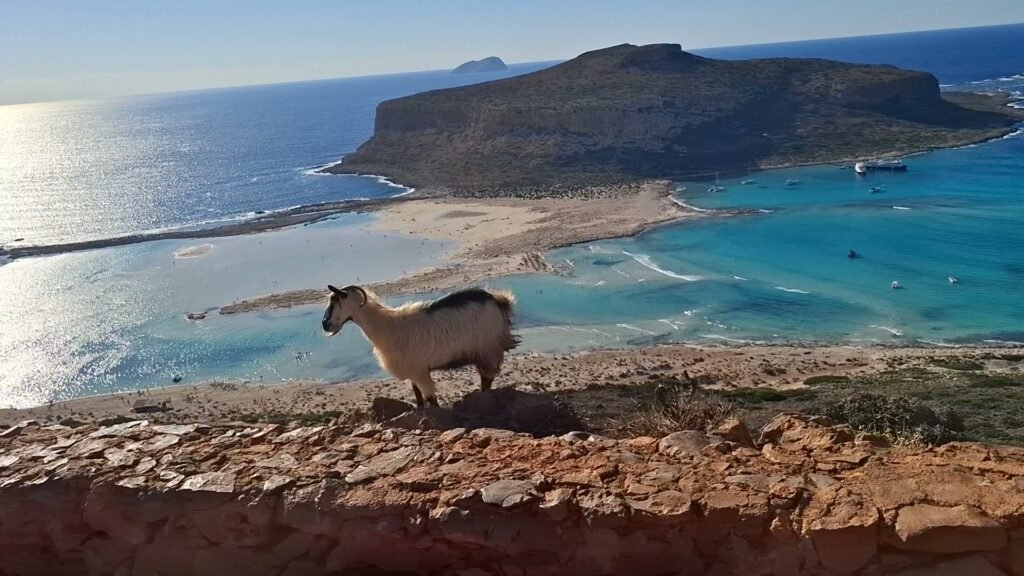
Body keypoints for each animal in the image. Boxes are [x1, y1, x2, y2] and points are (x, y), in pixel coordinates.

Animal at [321, 285, 518, 407]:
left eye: (336, 301)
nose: (325, 324)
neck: (387, 326)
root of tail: (499, 300)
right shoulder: (413, 372)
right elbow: (419, 398)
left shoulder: (421, 372)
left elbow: (432, 400)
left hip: (488, 351)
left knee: (487, 380)